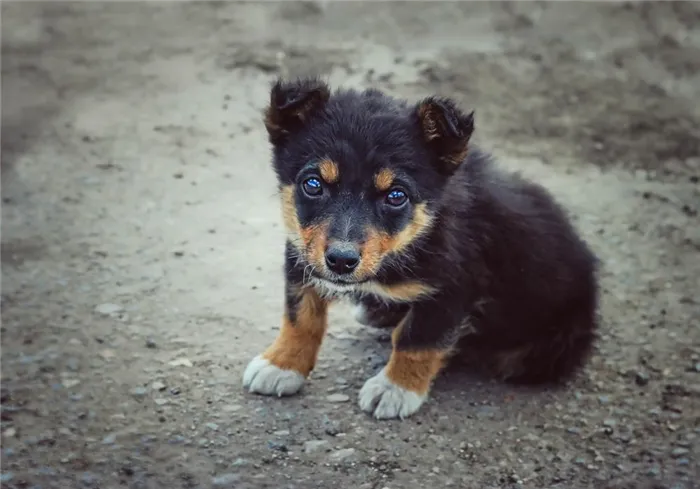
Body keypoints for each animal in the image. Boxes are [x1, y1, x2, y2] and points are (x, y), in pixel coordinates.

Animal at [243, 77, 600, 420]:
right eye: (313, 184)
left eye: (396, 196)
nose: (341, 261)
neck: (418, 234)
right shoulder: (301, 254)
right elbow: (300, 316)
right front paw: (283, 364)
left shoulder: (452, 289)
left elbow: (417, 340)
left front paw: (396, 389)